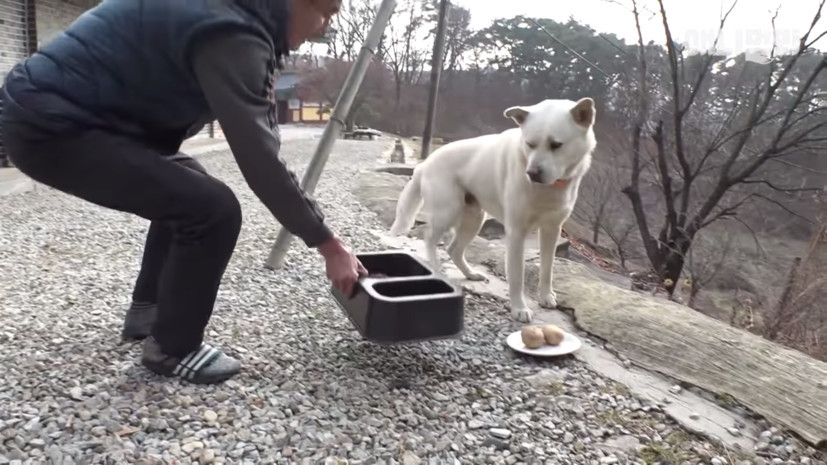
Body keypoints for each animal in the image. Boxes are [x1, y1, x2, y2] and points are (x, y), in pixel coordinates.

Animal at [392, 98, 600, 322]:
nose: (532, 173)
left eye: (556, 145)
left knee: (453, 249)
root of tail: (425, 164)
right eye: (530, 144)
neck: (548, 188)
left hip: (475, 218)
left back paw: (470, 273)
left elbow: (547, 268)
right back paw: (436, 268)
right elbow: (517, 275)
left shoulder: (551, 230)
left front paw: (546, 296)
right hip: (447, 211)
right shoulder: (516, 232)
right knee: (430, 239)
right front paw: (519, 308)